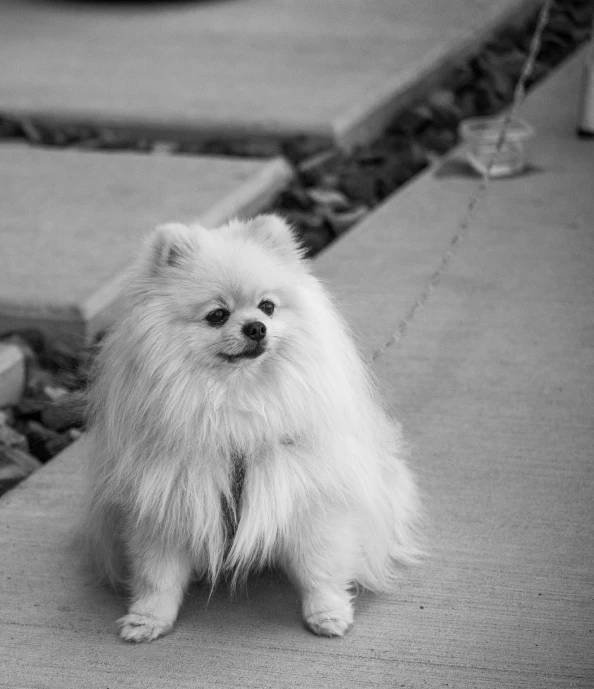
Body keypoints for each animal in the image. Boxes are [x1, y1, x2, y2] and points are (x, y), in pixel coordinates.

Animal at [85, 214, 420, 640]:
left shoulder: (306, 492)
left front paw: (327, 613)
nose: (256, 327)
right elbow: (156, 574)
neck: (236, 401)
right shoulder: (166, 500)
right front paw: (147, 619)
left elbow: (319, 565)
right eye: (217, 315)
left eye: (267, 306)